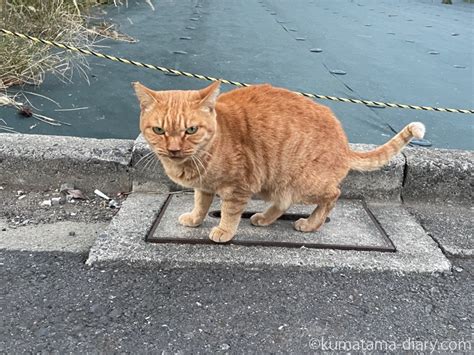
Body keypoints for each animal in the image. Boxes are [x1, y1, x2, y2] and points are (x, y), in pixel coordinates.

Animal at [134, 81, 426, 243]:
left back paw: (310, 224)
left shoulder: (238, 187)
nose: (173, 149)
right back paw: (264, 218)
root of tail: (344, 143)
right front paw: (195, 219)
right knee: (284, 202)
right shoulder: (205, 186)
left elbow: (229, 212)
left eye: (191, 130)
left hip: (306, 183)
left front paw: (224, 231)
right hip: (278, 183)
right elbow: (201, 204)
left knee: (333, 195)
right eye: (159, 130)